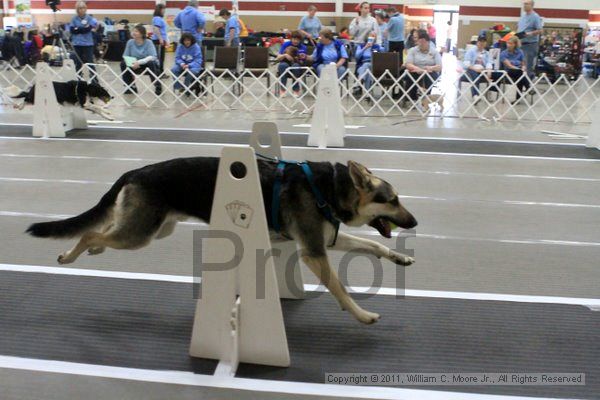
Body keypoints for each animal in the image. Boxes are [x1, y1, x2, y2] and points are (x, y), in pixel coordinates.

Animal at [27, 158, 418, 324]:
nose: (415, 222)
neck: (330, 188)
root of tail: (135, 170)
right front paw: (361, 314)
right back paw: (71, 254)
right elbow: (339, 288)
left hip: (154, 229)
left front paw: (398, 258)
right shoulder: (314, 251)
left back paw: (91, 249)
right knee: (91, 231)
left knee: (104, 230)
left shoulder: (327, 241)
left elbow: (374, 246)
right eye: (393, 200)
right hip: (141, 234)